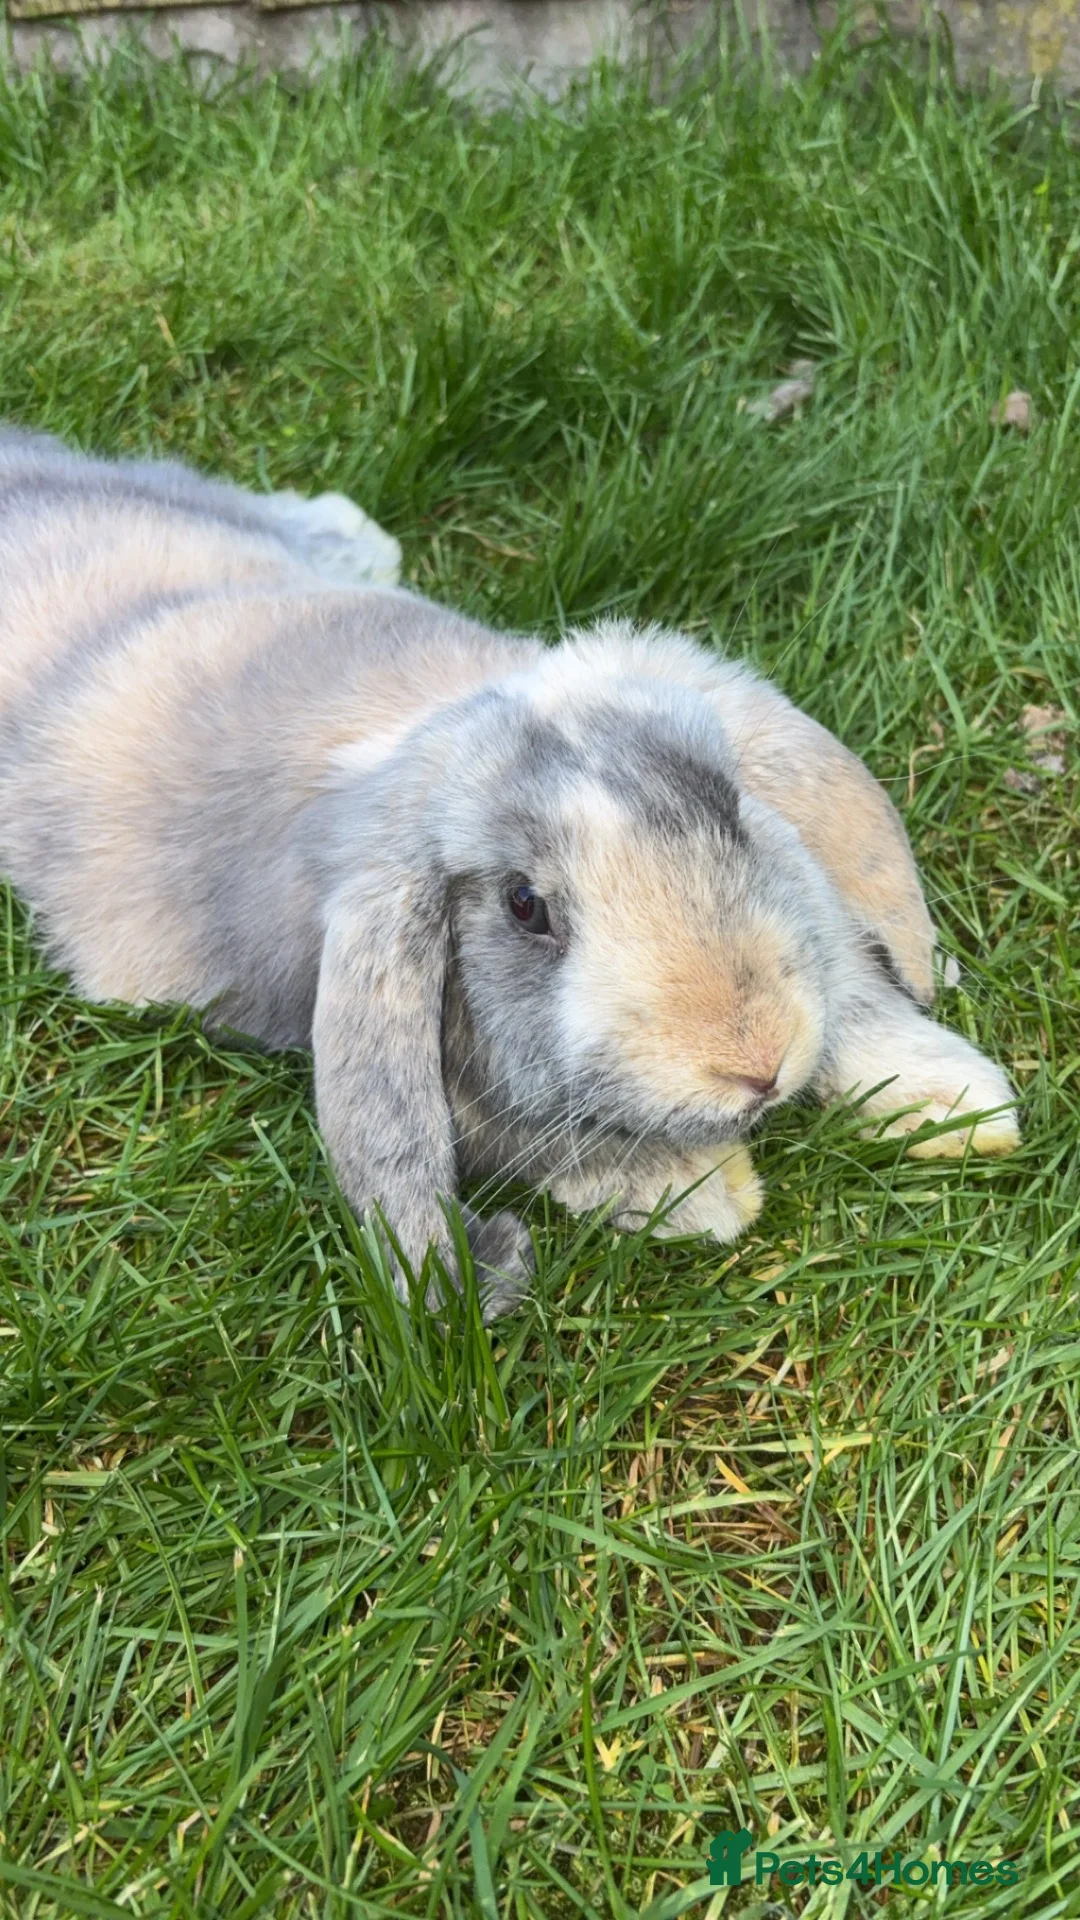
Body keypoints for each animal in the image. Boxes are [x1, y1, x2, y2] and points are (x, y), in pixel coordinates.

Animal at [0, 426, 1019, 1317]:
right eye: (526, 907)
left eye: (727, 809)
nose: (755, 1063)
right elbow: (550, 1148)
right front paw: (707, 1193)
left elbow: (857, 1005)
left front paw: (961, 1104)